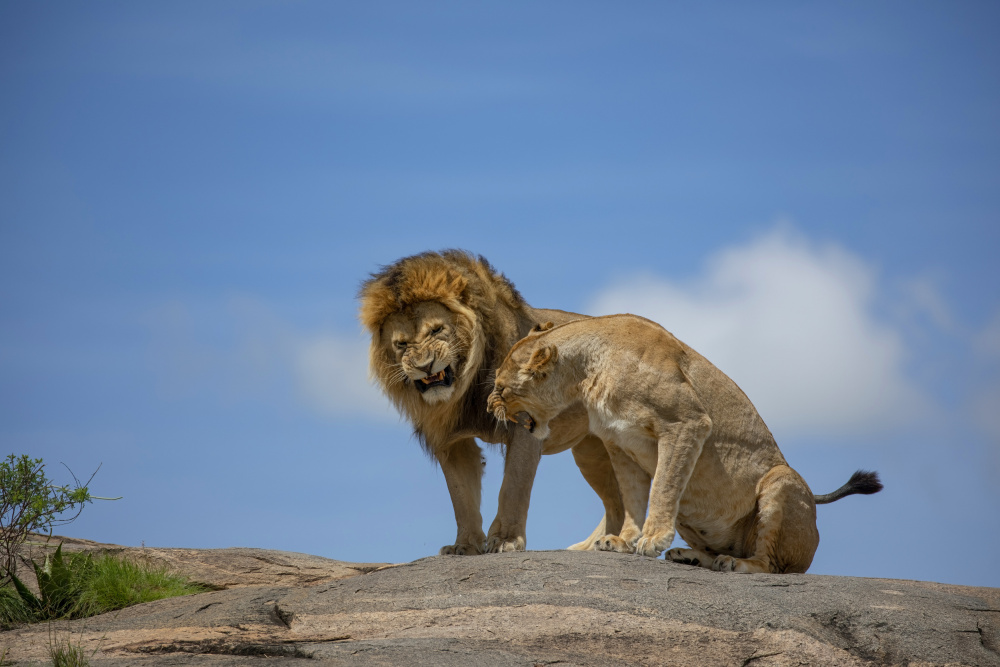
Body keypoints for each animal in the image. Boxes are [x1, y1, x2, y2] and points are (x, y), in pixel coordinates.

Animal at [360, 249, 624, 552]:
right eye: (401, 344)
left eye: (436, 330)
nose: (425, 366)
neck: (464, 387)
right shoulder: (452, 441)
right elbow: (461, 497)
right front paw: (464, 546)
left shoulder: (524, 426)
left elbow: (514, 485)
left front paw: (506, 539)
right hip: (591, 452)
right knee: (616, 501)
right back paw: (596, 544)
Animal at [486, 314, 884, 576]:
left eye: (502, 387)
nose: (489, 407)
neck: (587, 374)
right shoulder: (618, 443)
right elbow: (632, 497)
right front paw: (623, 541)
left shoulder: (685, 423)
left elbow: (664, 485)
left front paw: (652, 540)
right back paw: (692, 557)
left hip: (782, 480)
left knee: (771, 564)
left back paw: (735, 563)